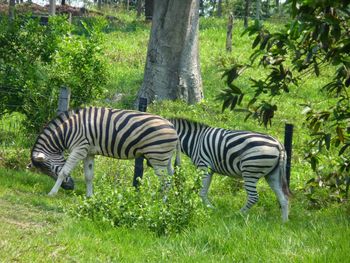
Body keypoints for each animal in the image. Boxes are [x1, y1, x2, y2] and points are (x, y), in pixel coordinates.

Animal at [28, 108, 179, 198]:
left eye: (49, 169)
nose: (69, 188)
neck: (68, 130)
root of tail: (172, 126)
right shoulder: (88, 152)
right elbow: (89, 175)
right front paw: (89, 196)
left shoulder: (79, 148)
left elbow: (64, 172)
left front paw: (52, 193)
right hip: (165, 158)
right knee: (171, 177)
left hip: (157, 158)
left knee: (165, 182)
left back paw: (160, 204)